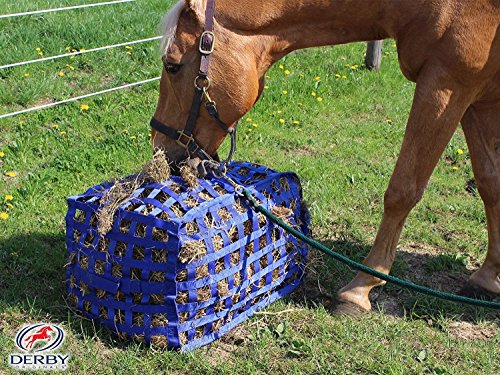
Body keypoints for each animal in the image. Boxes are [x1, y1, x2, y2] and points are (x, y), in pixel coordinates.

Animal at [150, 0, 498, 314]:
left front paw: (360, 288)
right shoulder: (479, 98)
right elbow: (489, 184)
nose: (160, 150)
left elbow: (403, 190)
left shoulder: (447, 84)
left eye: (172, 65)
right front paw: (488, 276)